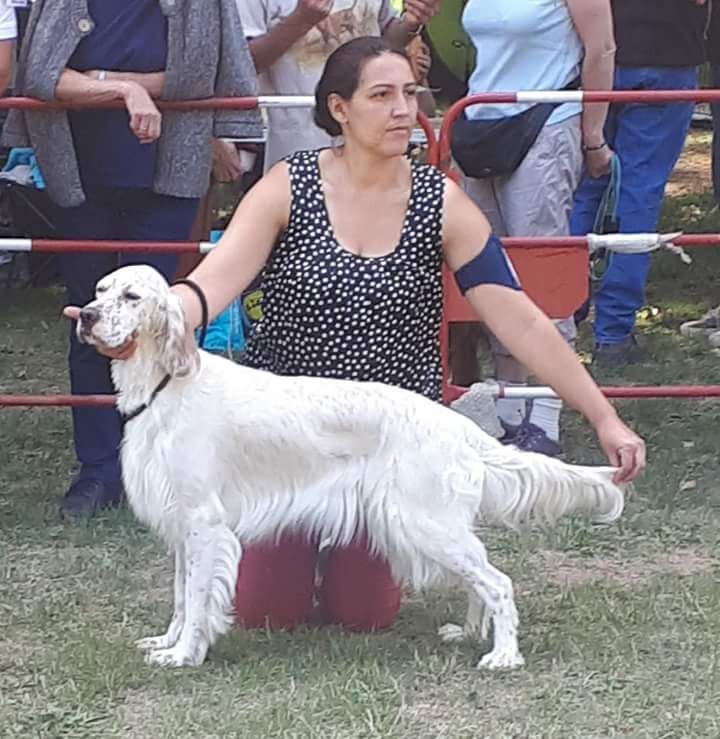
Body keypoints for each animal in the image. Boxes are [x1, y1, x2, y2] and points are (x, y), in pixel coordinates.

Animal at [74, 266, 624, 672]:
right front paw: (164, 642)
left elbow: (196, 599)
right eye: (99, 290)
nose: (86, 316)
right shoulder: (181, 525)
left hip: (422, 522)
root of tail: (457, 426)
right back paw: (468, 632)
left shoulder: (204, 524)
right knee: (481, 577)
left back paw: (503, 655)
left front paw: (185, 654)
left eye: (131, 296)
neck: (167, 384)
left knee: (499, 582)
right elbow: (181, 597)